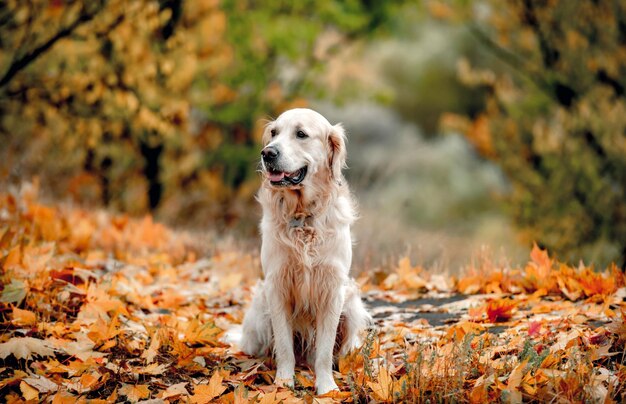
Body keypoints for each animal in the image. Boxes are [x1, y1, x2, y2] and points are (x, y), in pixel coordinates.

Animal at [240, 107, 370, 394]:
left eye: (301, 134)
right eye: (274, 133)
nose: (268, 153)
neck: (303, 216)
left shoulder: (333, 289)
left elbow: (324, 350)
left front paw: (326, 387)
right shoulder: (277, 285)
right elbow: (284, 346)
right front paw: (283, 382)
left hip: (351, 303)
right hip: (260, 309)